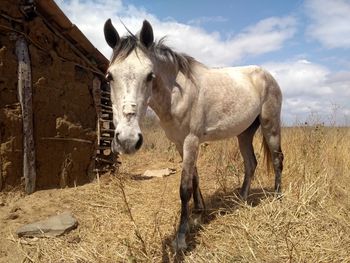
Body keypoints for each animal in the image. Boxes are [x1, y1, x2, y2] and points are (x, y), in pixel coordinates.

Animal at [102, 19, 284, 252]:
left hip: (271, 126)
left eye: (150, 76)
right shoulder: (180, 144)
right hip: (244, 134)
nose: (127, 140)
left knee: (277, 160)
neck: (178, 93)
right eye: (110, 76)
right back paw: (241, 200)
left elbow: (185, 187)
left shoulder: (191, 141)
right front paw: (198, 214)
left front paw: (181, 238)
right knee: (250, 163)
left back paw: (277, 198)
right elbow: (195, 178)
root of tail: (267, 75)